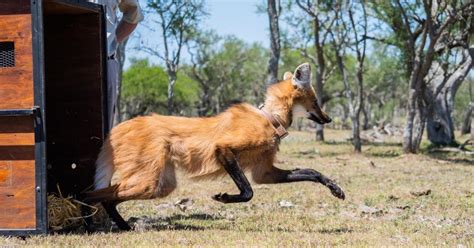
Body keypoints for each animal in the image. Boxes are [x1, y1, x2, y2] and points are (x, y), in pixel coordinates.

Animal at [84, 62, 344, 231]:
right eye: (316, 101)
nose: (329, 118)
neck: (271, 118)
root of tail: (119, 126)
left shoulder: (265, 172)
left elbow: (312, 172)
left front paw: (336, 189)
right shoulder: (224, 150)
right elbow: (248, 191)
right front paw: (224, 197)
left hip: (160, 185)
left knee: (107, 198)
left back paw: (122, 227)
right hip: (148, 181)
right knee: (91, 194)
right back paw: (90, 223)